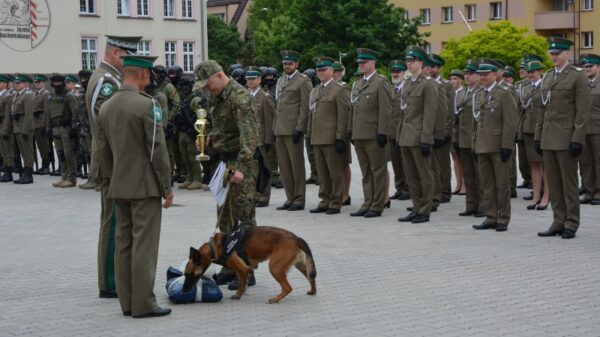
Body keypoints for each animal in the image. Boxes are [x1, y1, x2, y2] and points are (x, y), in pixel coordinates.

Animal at [184, 226, 316, 302]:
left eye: (189, 274)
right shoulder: (242, 269)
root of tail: (296, 238)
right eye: (184, 274)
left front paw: (238, 295)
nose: (184, 289)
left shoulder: (242, 268)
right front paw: (242, 291)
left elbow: (241, 284)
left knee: (288, 288)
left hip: (275, 268)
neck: (213, 248)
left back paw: (275, 299)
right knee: (311, 277)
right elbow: (243, 282)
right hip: (301, 266)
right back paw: (313, 291)